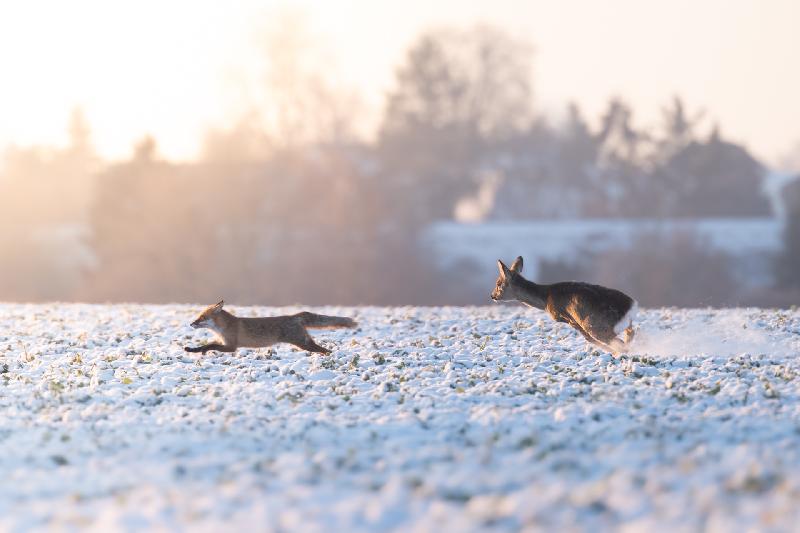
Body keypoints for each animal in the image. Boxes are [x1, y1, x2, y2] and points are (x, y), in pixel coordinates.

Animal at [184, 300, 357, 355]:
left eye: (202, 317)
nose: (191, 323)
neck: (222, 328)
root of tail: (294, 315)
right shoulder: (223, 342)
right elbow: (205, 345)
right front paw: (193, 350)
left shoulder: (231, 346)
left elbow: (209, 345)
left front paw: (202, 351)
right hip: (305, 342)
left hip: (303, 343)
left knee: (325, 350)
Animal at [490, 256, 637, 355]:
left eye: (498, 283)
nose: (492, 296)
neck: (545, 300)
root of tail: (629, 307)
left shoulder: (567, 317)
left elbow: (588, 339)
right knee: (630, 335)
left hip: (595, 324)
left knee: (619, 342)